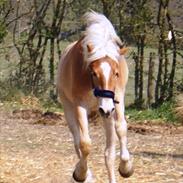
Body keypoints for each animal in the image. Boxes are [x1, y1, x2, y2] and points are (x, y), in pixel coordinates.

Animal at [56, 11, 134, 183]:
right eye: (93, 73)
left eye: (116, 73)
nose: (105, 108)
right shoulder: (80, 106)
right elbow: (85, 144)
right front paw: (81, 173)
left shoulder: (117, 99)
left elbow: (121, 128)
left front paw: (126, 168)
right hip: (69, 108)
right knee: (77, 141)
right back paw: (84, 174)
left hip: (108, 114)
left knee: (108, 154)